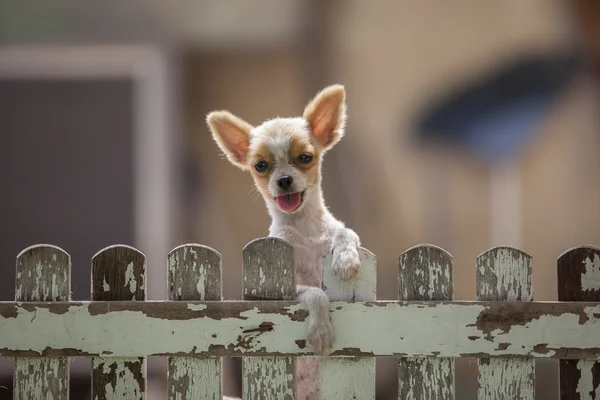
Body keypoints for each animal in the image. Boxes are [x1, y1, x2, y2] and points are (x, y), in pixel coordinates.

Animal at [206, 83, 360, 396]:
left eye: (305, 158)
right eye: (260, 165)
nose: (284, 180)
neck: (303, 227)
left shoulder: (333, 230)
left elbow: (344, 232)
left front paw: (346, 257)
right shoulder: (282, 291)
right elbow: (316, 293)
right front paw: (320, 330)